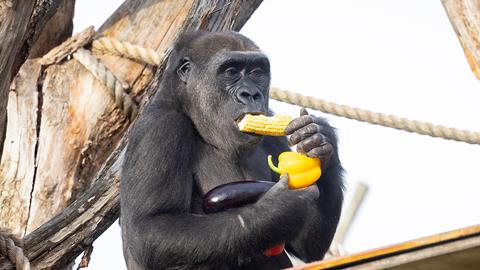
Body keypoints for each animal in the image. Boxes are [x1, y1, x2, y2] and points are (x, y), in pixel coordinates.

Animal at [120, 30, 344, 268]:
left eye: (256, 72)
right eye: (231, 72)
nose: (251, 94)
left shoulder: (272, 124)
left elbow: (307, 247)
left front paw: (319, 140)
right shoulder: (161, 128)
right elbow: (153, 227)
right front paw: (278, 210)